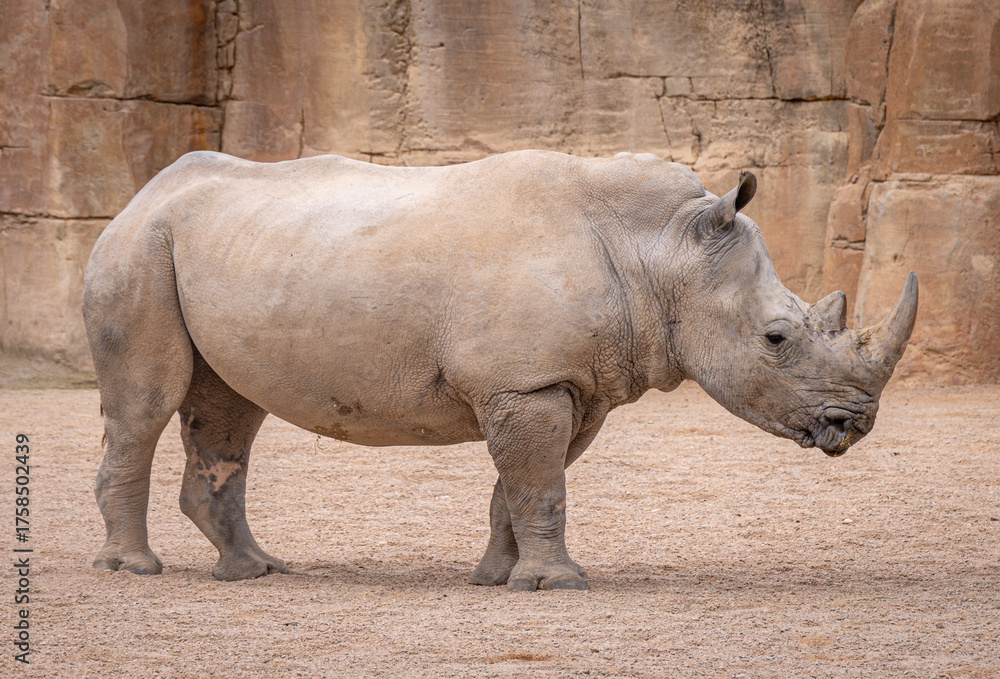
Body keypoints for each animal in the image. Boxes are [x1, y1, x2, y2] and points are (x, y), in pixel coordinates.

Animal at [83, 149, 917, 591]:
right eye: (777, 337)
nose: (854, 424)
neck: (664, 249)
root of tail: (139, 193)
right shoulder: (526, 380)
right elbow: (540, 484)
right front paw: (560, 585)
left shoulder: (568, 384)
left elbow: (518, 487)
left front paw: (498, 576)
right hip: (138, 249)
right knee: (146, 404)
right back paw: (135, 569)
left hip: (208, 249)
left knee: (228, 409)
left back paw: (256, 570)